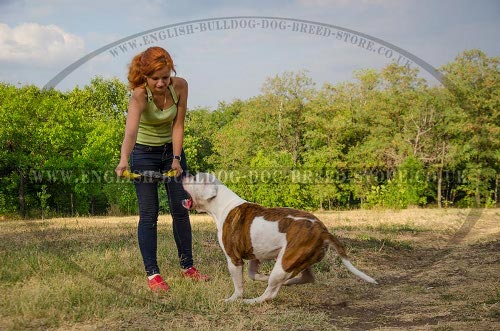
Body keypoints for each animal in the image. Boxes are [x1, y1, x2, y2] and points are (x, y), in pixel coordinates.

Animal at [182, 172, 376, 304]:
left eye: (195, 178)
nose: (184, 174)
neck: (222, 204)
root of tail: (323, 231)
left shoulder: (233, 259)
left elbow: (238, 285)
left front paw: (233, 299)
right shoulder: (254, 254)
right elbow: (253, 274)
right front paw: (261, 277)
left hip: (284, 263)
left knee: (270, 294)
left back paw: (251, 301)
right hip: (297, 259)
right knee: (306, 278)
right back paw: (287, 282)